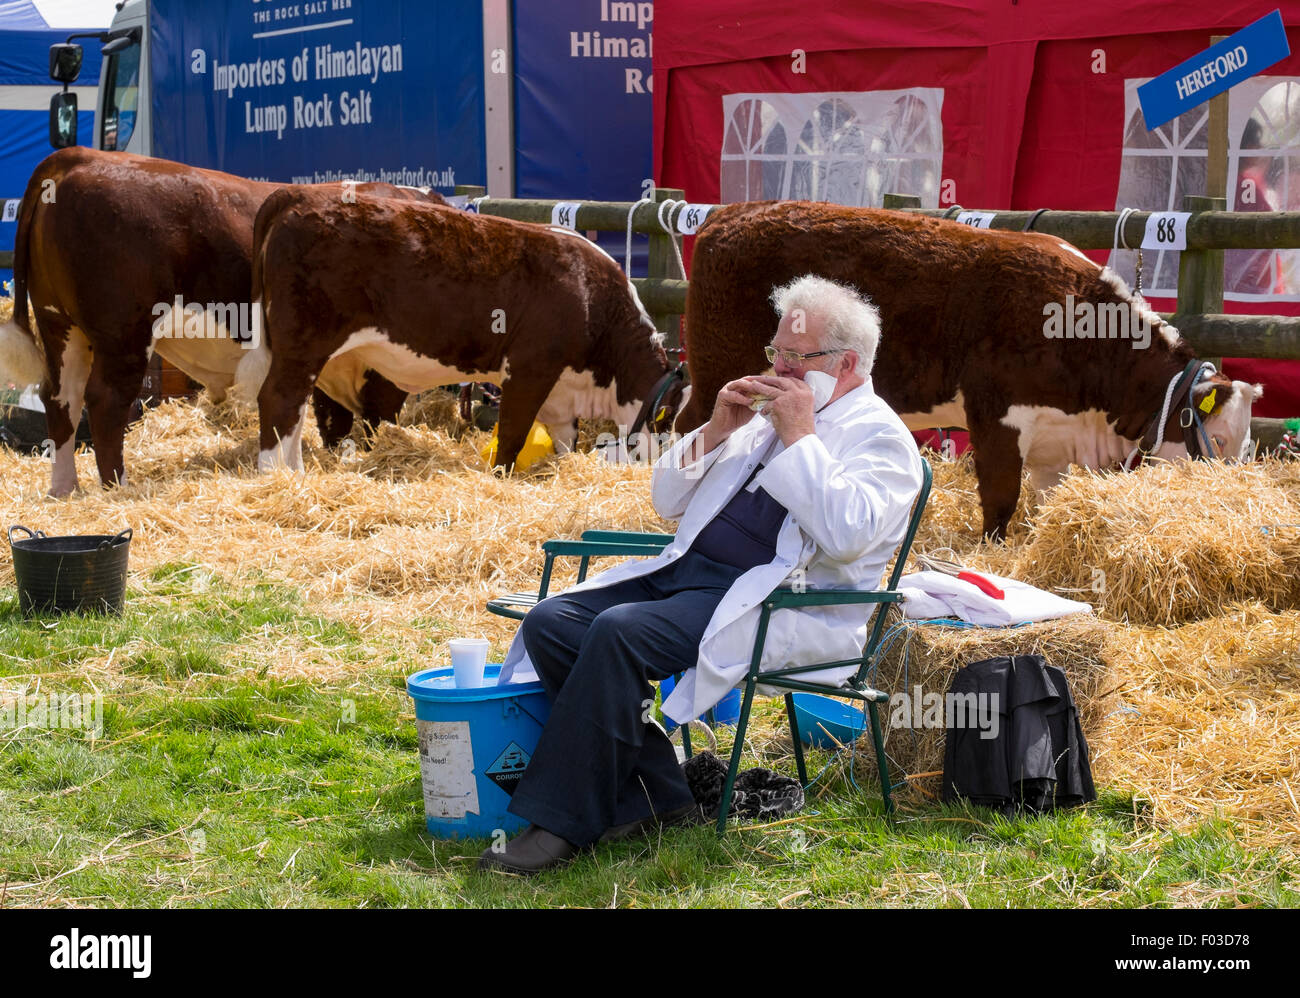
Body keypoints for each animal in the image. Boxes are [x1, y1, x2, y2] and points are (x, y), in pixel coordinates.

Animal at [0, 146, 436, 496]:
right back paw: (117, 488)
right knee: (106, 401)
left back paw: (64, 489)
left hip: (60, 327)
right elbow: (368, 408)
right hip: (124, 334)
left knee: (61, 400)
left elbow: (329, 415)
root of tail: (79, 155)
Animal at [243, 185, 681, 473]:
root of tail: (297, 195)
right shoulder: (529, 369)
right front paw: (500, 477)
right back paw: (278, 476)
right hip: (304, 344)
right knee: (279, 400)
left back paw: (296, 470)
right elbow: (512, 434)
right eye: (673, 419)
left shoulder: (562, 395)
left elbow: (564, 442)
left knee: (297, 411)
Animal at [681, 201, 1258, 537]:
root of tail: (732, 213)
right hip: (718, 368)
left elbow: (1042, 504)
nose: (1230, 503)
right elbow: (1001, 500)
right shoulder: (996, 417)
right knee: (691, 428)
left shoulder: (1055, 439)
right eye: (1220, 440)